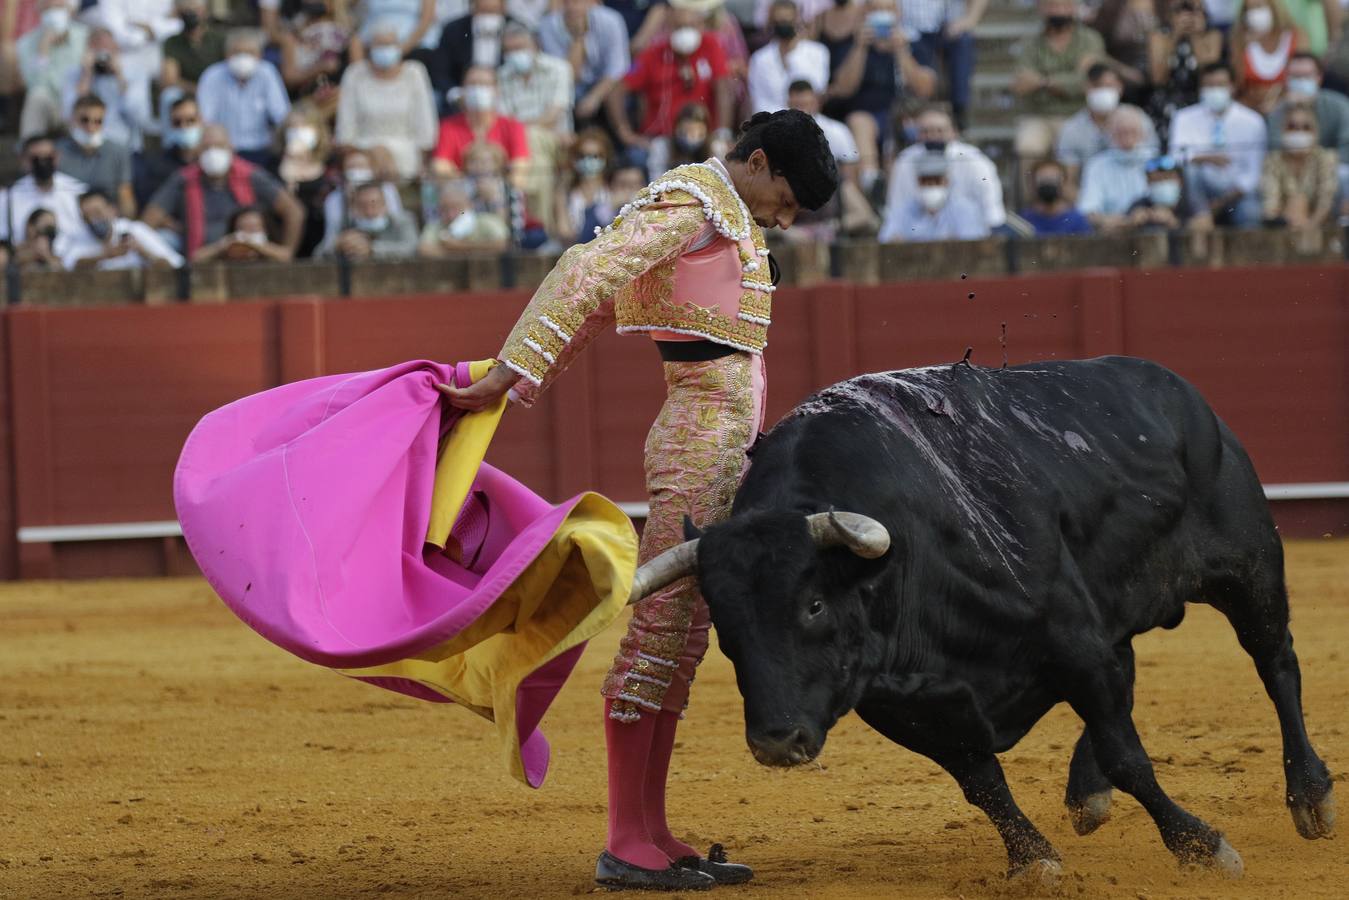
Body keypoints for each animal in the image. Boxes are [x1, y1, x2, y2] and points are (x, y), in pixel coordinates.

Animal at [658, 356, 1332, 879]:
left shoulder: (1072, 643)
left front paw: (1201, 847)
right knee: (1132, 667)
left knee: (1276, 663)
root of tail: (1179, 390)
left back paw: (1310, 796)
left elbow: (1130, 758)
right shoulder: (907, 706)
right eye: (723, 626)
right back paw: (1087, 795)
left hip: (1248, 566)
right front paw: (1032, 859)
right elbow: (981, 781)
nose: (776, 743)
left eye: (814, 604)